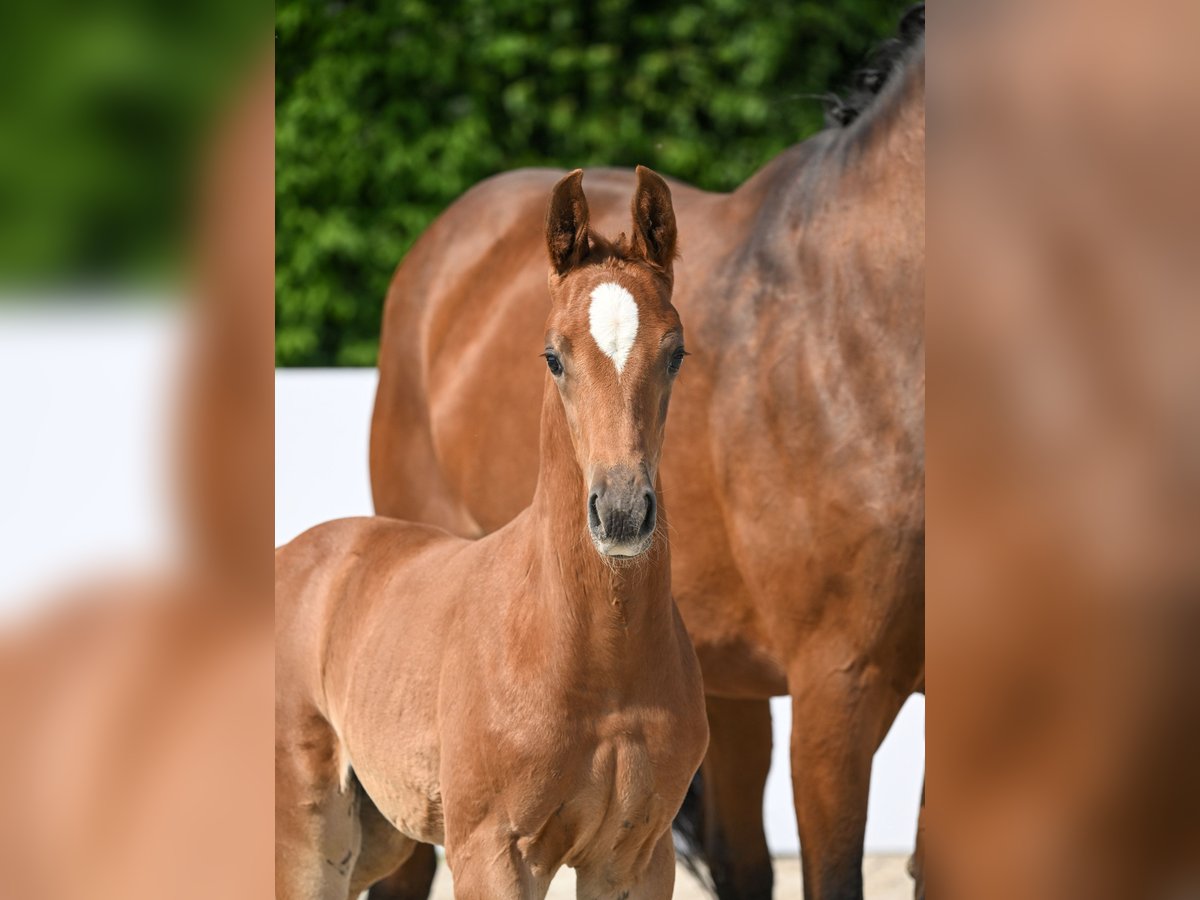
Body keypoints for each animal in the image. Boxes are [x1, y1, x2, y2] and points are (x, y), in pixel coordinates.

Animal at [276, 169, 705, 900]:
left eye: (674, 353)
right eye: (554, 356)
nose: (621, 513)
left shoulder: (636, 858)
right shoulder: (492, 851)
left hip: (375, 836)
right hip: (308, 840)